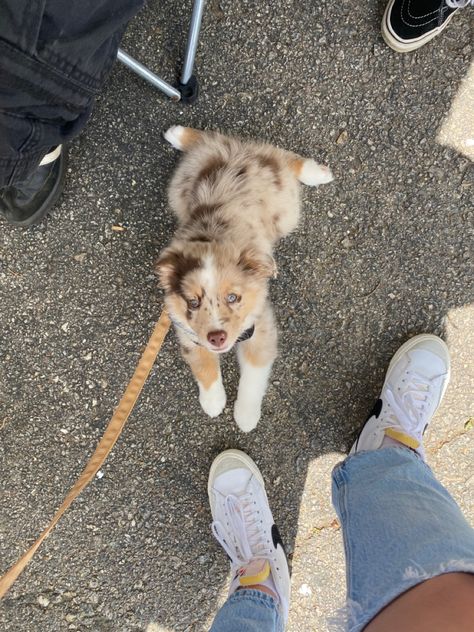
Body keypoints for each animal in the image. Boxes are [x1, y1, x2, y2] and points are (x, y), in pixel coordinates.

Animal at [157, 126, 332, 432]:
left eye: (233, 297)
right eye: (193, 302)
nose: (217, 338)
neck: (211, 241)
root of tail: (237, 152)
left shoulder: (260, 328)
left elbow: (253, 377)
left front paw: (246, 416)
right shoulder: (186, 330)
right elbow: (202, 364)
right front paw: (213, 401)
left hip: (286, 211)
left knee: (283, 157)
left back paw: (317, 173)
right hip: (179, 189)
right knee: (211, 137)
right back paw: (178, 134)